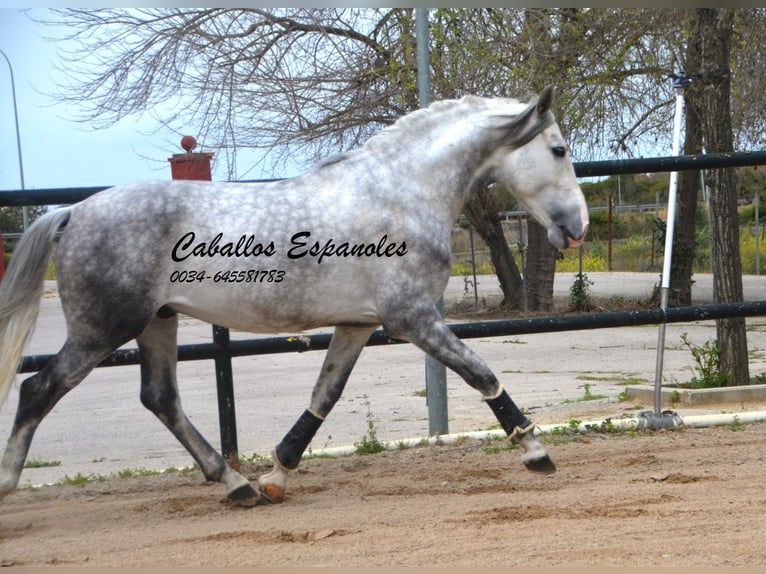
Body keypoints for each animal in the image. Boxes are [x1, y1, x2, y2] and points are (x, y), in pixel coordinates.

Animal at [0, 86, 592, 508]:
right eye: (559, 149)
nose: (576, 229)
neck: (399, 193)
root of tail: (73, 212)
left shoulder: (358, 324)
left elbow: (323, 396)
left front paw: (277, 476)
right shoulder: (413, 318)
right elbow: (480, 372)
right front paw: (536, 451)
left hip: (156, 321)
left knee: (160, 398)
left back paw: (237, 485)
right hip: (103, 328)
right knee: (37, 391)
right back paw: (8, 485)